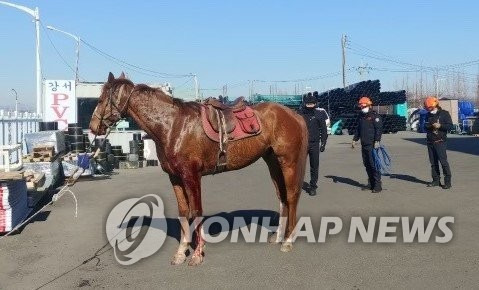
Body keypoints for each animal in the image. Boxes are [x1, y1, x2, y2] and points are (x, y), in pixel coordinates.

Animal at [89, 72, 308, 266]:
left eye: (101, 99)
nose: (93, 126)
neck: (173, 125)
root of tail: (294, 115)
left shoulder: (192, 176)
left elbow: (196, 211)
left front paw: (197, 254)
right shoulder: (175, 177)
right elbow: (184, 211)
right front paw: (181, 253)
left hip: (288, 161)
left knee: (291, 196)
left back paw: (288, 241)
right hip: (272, 161)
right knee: (281, 197)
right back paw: (278, 236)